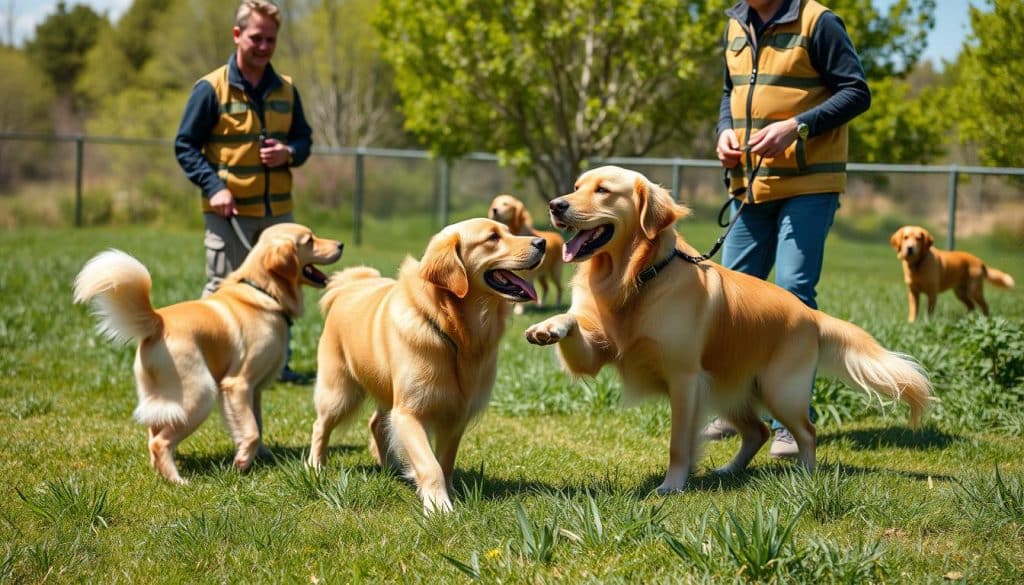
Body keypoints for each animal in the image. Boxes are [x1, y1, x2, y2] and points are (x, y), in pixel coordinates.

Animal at [74, 224, 344, 485]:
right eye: (309, 239)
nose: (341, 244)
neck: (264, 291)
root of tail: (157, 321)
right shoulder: (237, 384)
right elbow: (251, 431)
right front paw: (242, 461)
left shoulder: (254, 389)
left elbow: (257, 424)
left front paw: (262, 455)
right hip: (200, 395)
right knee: (159, 442)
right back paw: (178, 481)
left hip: (162, 398)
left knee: (153, 433)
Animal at [305, 218, 544, 512]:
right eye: (492, 238)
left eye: (509, 231)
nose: (542, 243)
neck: (453, 329)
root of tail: (349, 285)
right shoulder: (409, 412)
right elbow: (430, 465)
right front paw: (439, 506)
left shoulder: (456, 414)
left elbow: (445, 462)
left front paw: (447, 492)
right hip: (339, 392)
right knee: (320, 426)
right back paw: (315, 466)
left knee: (376, 424)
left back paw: (391, 466)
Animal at [528, 166, 937, 495]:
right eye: (577, 186)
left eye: (603, 190)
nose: (555, 205)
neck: (637, 277)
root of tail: (811, 314)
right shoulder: (598, 354)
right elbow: (574, 324)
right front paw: (548, 325)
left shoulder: (685, 379)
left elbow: (678, 443)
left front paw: (672, 485)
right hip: (729, 389)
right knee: (757, 430)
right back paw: (729, 470)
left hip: (779, 389)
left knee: (805, 431)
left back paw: (805, 474)